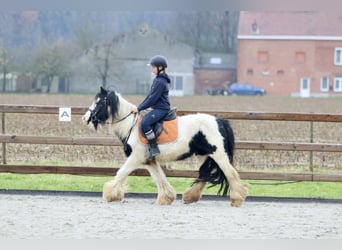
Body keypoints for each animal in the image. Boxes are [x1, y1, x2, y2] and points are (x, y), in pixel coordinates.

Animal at [83, 87, 248, 206]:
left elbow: (121, 173)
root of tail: (220, 120)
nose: (85, 118)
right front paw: (167, 197)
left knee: (230, 174)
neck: (131, 125)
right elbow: (159, 177)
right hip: (204, 155)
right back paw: (190, 197)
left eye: (98, 102)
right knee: (204, 175)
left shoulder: (135, 157)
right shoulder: (149, 161)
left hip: (218, 154)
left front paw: (110, 194)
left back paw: (237, 199)